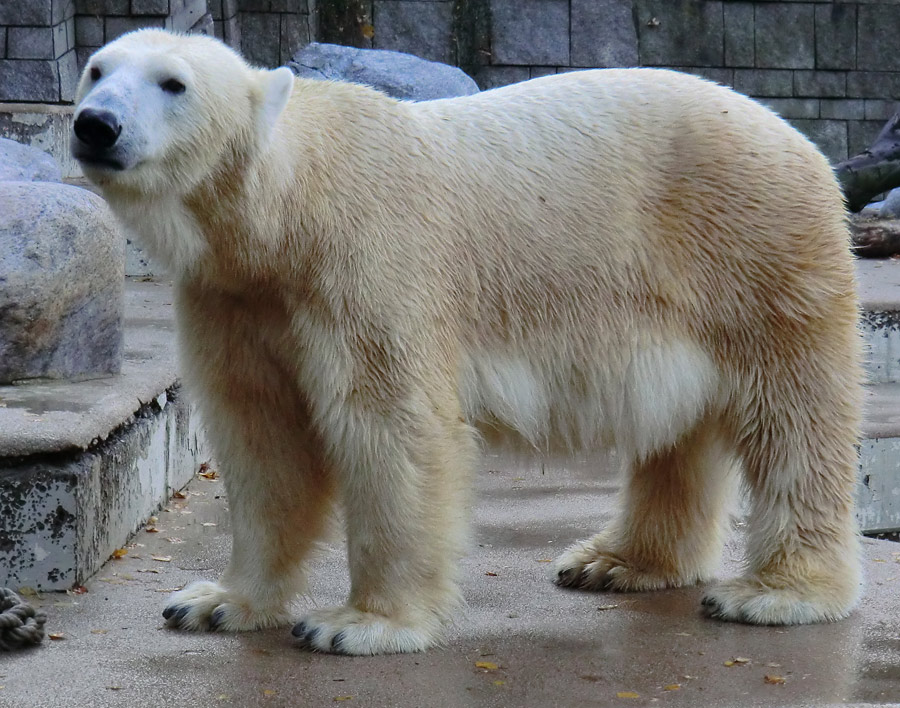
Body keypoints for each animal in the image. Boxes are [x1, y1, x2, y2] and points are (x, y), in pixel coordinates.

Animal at [72, 30, 864, 656]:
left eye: (173, 83)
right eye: (96, 68)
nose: (94, 124)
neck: (286, 213)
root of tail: (799, 139)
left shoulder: (367, 265)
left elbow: (393, 426)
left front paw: (358, 625)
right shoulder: (235, 298)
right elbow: (262, 436)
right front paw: (212, 602)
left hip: (755, 252)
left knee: (795, 420)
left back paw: (775, 593)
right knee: (681, 430)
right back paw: (614, 562)